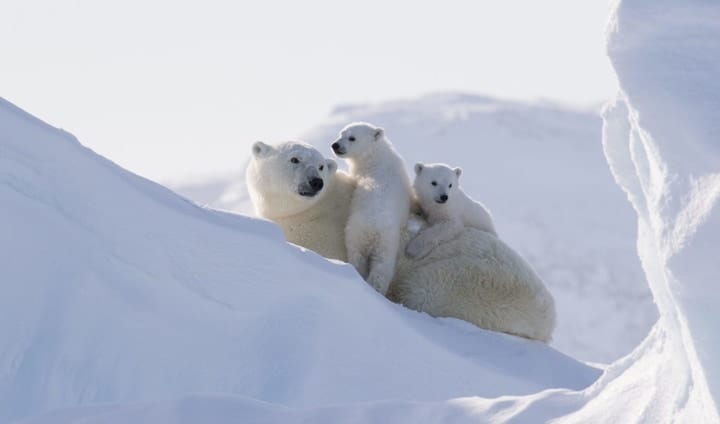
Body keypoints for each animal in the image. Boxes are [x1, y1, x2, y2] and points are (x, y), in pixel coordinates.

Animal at [330, 122, 410, 294]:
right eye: (341, 133)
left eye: (352, 138)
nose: (335, 145)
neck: (375, 155)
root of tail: (372, 227)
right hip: (380, 240)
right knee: (380, 266)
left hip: (365, 235)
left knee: (364, 260)